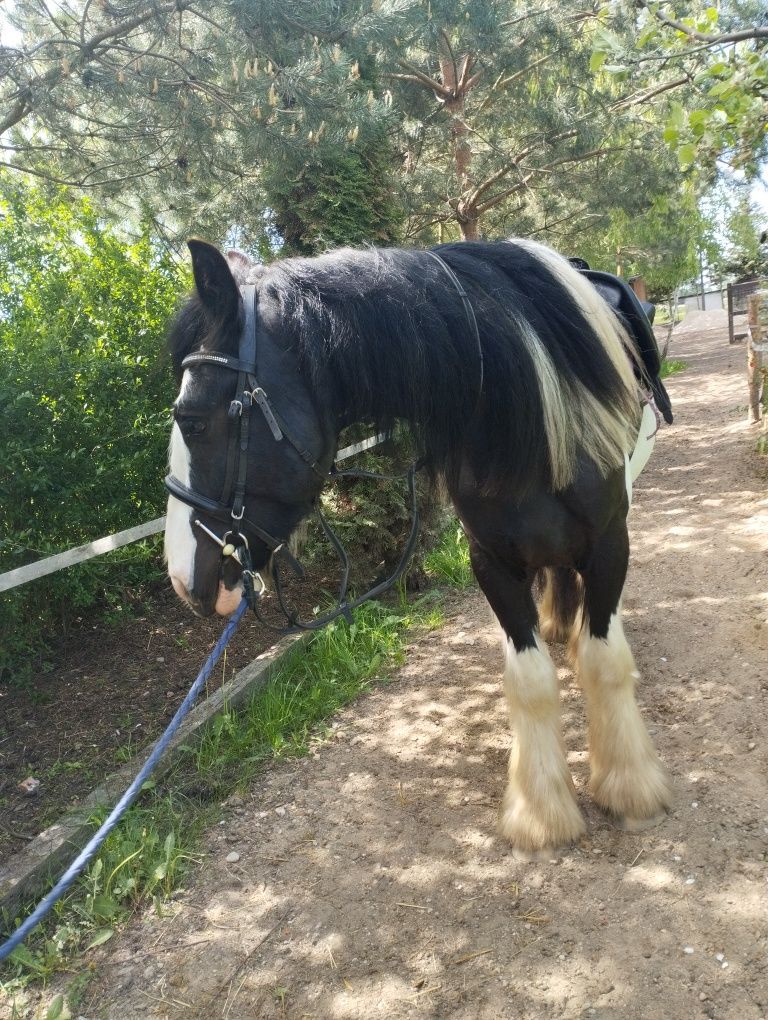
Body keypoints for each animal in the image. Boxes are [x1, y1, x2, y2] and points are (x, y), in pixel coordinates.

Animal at [163, 240, 669, 860]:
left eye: (191, 420)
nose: (182, 578)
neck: (522, 412)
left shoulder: (608, 544)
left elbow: (606, 663)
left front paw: (630, 786)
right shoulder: (492, 564)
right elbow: (530, 683)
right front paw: (542, 813)